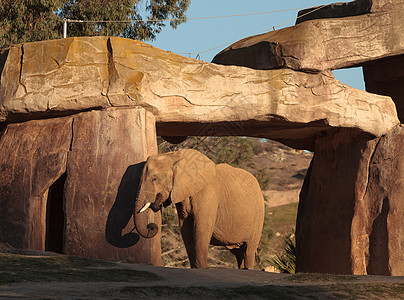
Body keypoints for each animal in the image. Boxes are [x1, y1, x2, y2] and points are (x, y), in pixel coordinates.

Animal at [135, 149, 266, 268]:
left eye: (154, 179)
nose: (151, 226)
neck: (174, 156)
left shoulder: (208, 194)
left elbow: (201, 229)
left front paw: (201, 268)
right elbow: (185, 229)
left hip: (258, 216)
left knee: (249, 250)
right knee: (239, 253)